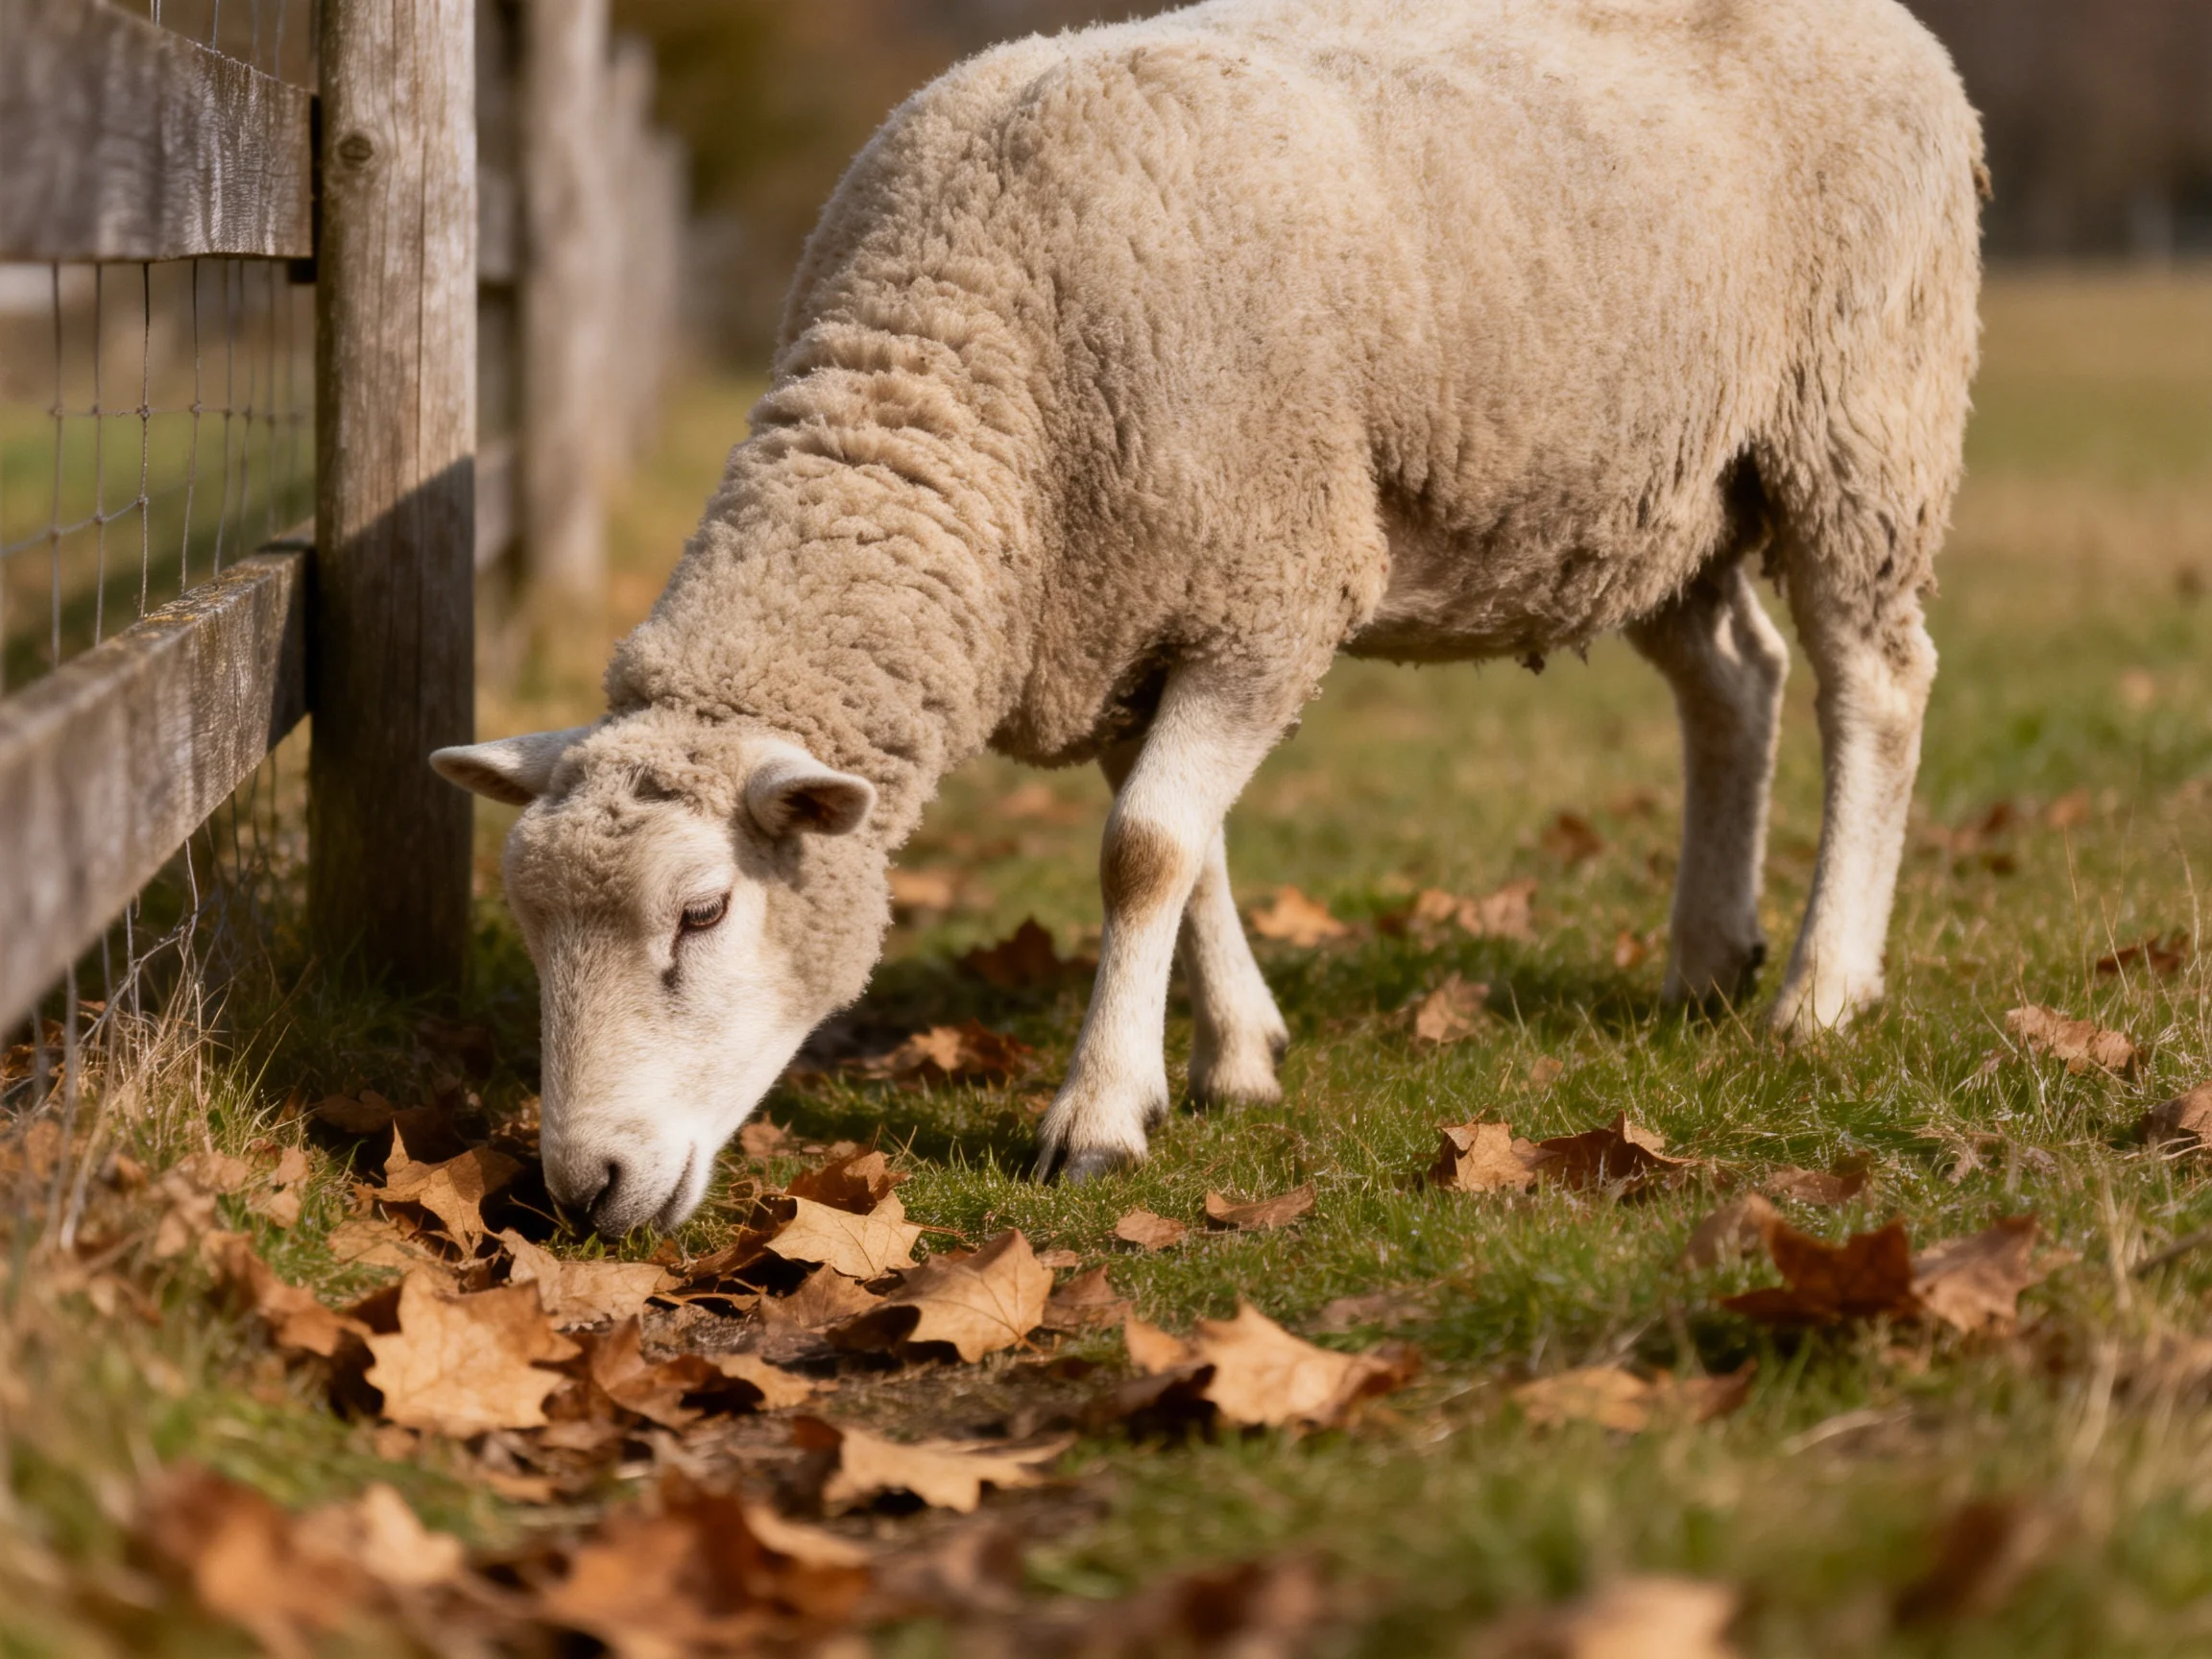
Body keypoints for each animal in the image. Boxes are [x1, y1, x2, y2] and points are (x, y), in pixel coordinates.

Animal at [432, 0, 1985, 1232]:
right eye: (528, 927)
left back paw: (1821, 989)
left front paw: (1100, 1117)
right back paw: (1706, 961)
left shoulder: (1273, 586)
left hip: (1863, 416)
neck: (964, 364)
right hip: (1658, 495)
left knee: (1877, 683)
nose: (579, 1191)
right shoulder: (1132, 620)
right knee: (1734, 681)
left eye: (700, 913)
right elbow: (1197, 850)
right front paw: (1238, 1056)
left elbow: (1146, 849)